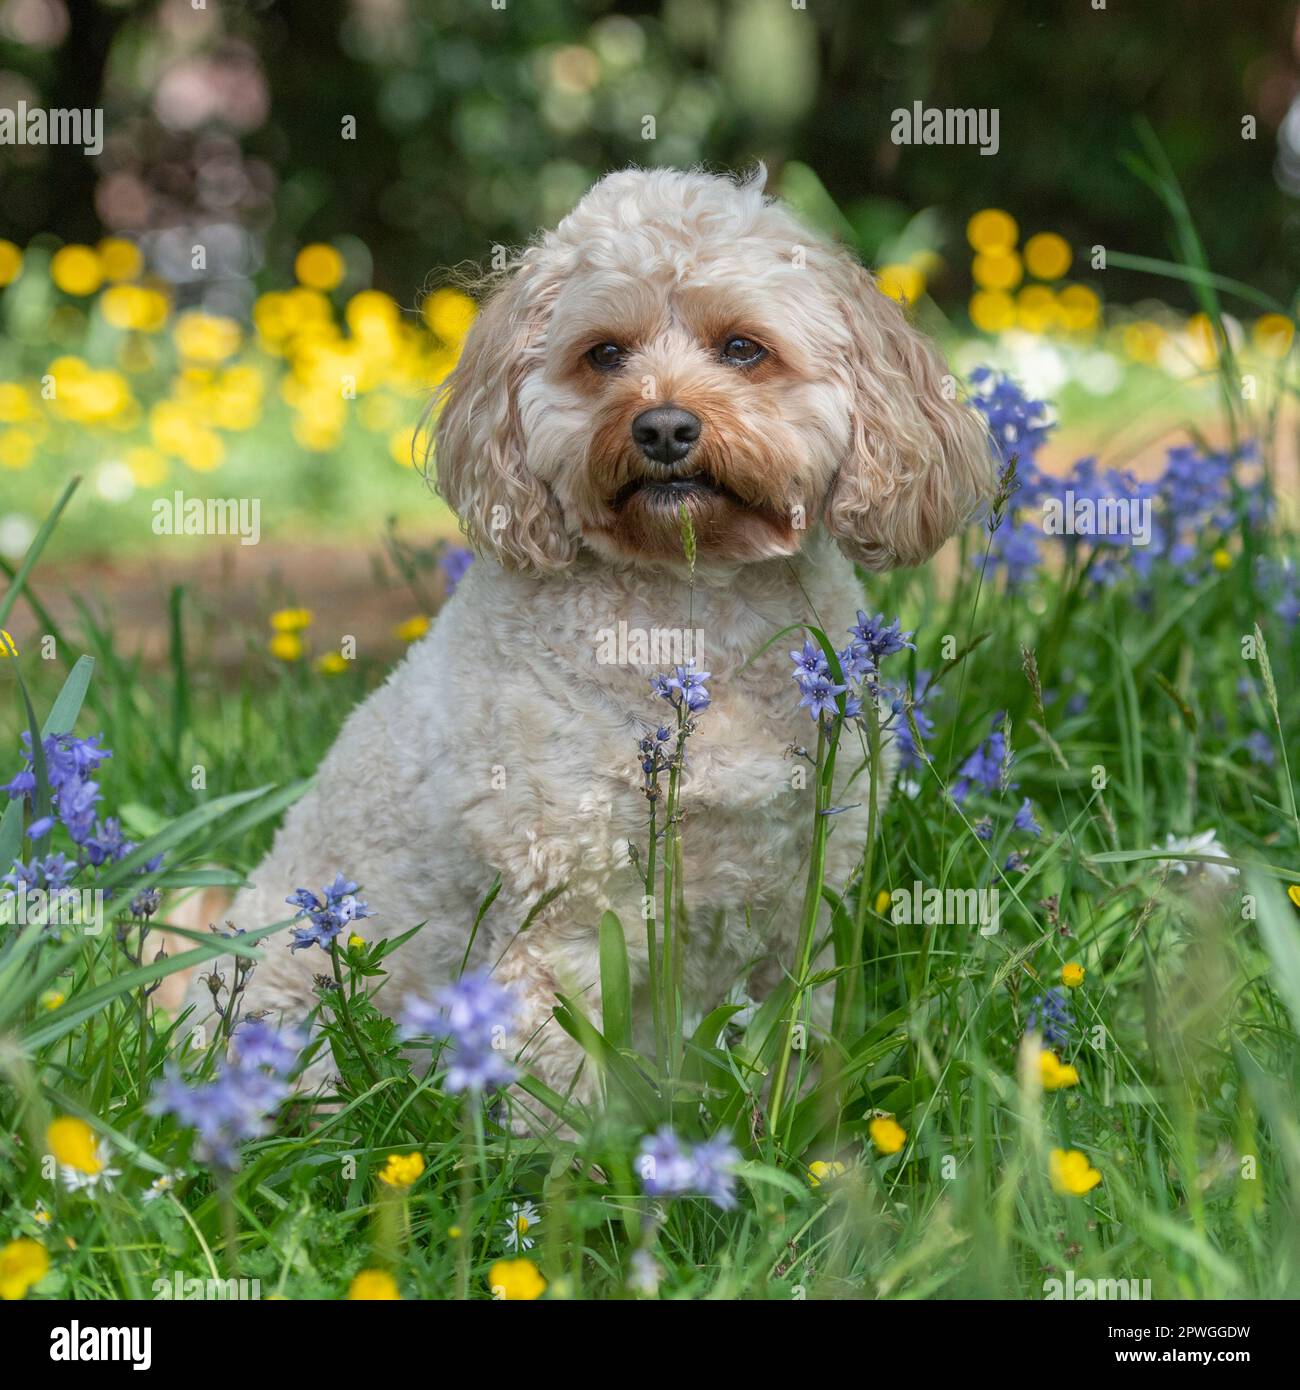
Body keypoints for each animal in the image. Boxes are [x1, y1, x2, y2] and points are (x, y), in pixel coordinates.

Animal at [183, 162, 989, 1117]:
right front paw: (584, 1157)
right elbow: (556, 1084)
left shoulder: (806, 898)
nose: (664, 427)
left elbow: (790, 1042)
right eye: (604, 354)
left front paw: (785, 1130)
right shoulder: (562, 921)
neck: (693, 616)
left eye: (743, 348)